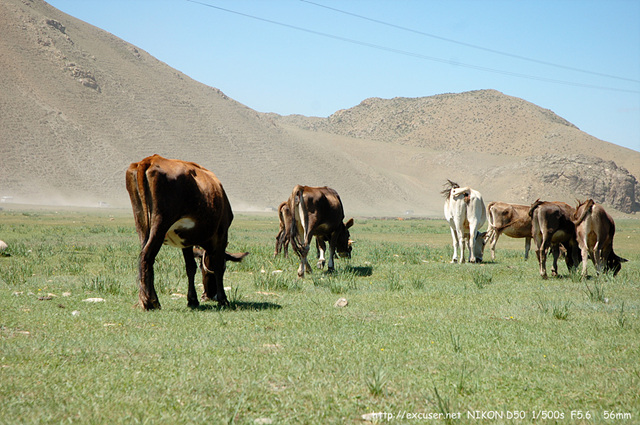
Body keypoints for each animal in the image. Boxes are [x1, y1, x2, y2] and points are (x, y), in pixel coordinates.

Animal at [125, 154, 248, 310]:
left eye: (202, 267)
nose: (208, 295)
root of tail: (151, 159)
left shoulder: (186, 241)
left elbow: (190, 267)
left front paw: (192, 299)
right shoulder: (222, 233)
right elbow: (218, 266)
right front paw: (223, 299)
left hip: (141, 223)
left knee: (144, 256)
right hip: (160, 223)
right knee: (146, 256)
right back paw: (151, 301)